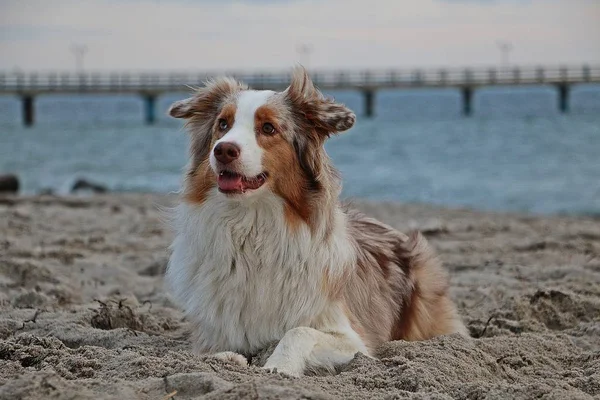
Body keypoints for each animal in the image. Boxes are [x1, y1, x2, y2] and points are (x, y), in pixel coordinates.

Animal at [165, 67, 468, 376]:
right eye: (223, 124)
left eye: (268, 128)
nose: (223, 150)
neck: (252, 226)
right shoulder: (215, 329)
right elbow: (215, 351)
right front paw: (228, 359)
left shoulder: (353, 338)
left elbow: (298, 331)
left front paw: (279, 366)